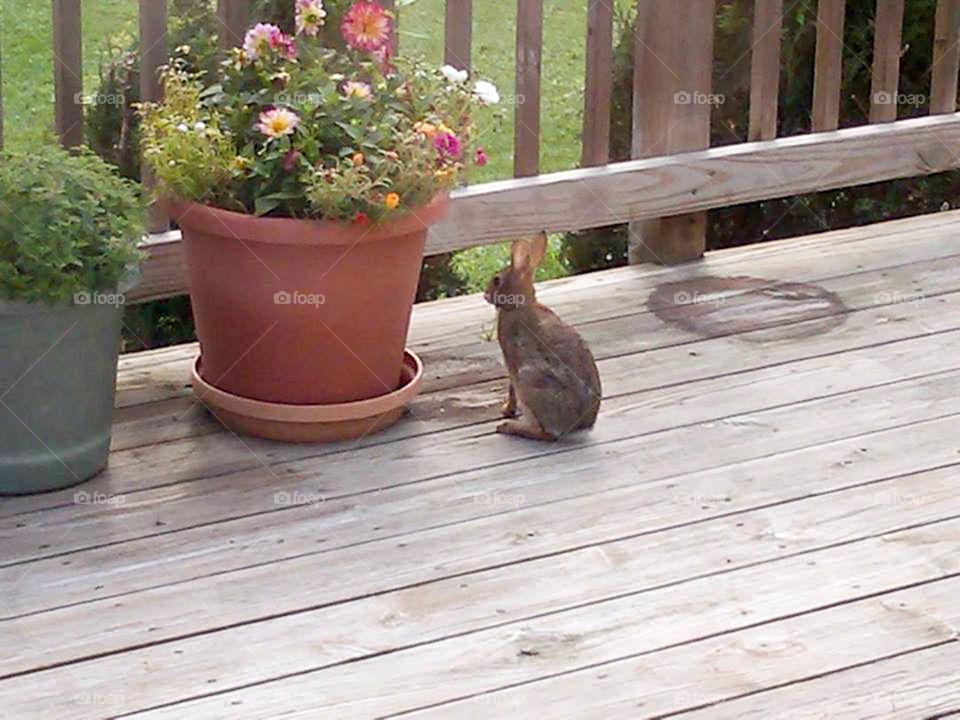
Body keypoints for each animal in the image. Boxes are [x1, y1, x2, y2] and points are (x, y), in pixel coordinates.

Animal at [488, 233, 600, 442]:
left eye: (497, 280)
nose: (485, 294)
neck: (518, 304)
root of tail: (577, 427)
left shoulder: (511, 361)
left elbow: (511, 388)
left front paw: (506, 410)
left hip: (529, 382)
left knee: (545, 434)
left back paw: (509, 427)